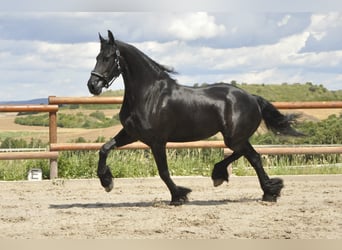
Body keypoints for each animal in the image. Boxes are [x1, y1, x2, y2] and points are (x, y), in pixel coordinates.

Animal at [86, 30, 302, 205]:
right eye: (97, 56)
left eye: (108, 57)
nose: (92, 85)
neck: (149, 94)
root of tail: (252, 98)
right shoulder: (131, 134)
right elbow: (104, 149)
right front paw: (107, 182)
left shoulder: (157, 141)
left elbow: (163, 171)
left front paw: (178, 196)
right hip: (235, 138)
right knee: (246, 155)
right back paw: (225, 177)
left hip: (234, 138)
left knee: (253, 157)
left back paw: (268, 192)